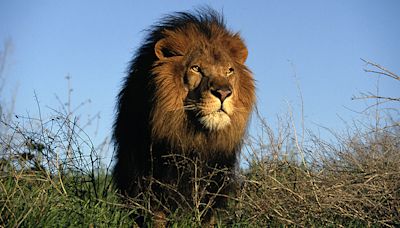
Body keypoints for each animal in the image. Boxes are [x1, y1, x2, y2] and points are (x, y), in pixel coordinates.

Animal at [112, 8, 256, 224]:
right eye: (196, 68)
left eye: (229, 71)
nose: (223, 93)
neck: (195, 137)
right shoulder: (152, 180)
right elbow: (157, 217)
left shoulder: (214, 183)